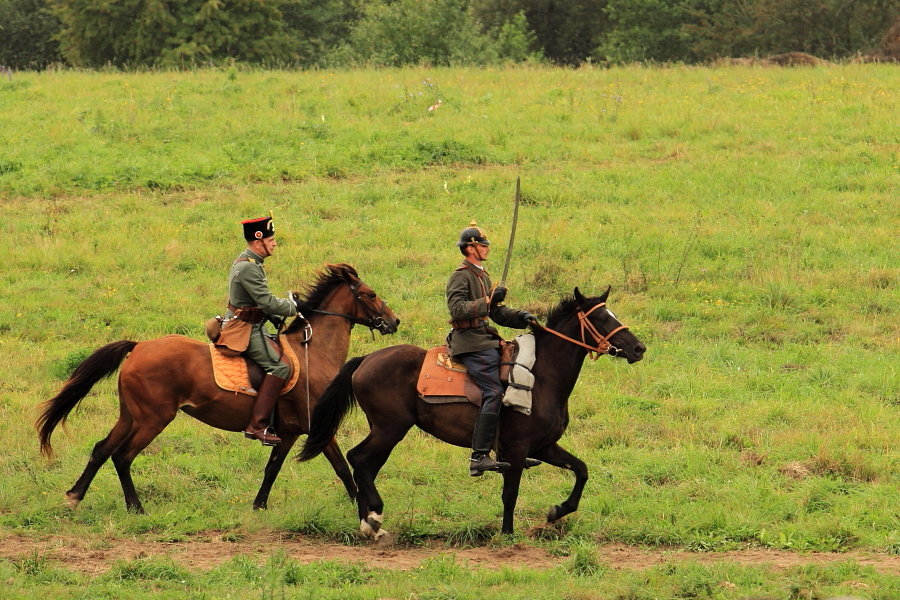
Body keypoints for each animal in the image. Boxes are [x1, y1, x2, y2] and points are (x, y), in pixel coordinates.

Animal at [37, 264, 398, 512]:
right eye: (370, 294)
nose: (394, 322)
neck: (314, 352)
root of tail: (138, 347)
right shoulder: (309, 427)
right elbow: (335, 467)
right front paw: (360, 504)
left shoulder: (294, 431)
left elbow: (278, 467)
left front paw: (258, 506)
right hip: (154, 418)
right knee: (123, 456)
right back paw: (136, 507)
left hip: (130, 415)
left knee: (102, 449)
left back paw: (75, 496)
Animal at [302, 288, 648, 536]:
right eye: (602, 319)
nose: (638, 348)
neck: (541, 375)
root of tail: (366, 359)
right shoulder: (517, 449)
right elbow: (511, 493)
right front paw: (507, 534)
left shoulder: (544, 446)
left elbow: (581, 470)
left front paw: (557, 511)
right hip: (390, 429)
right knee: (359, 460)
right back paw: (372, 518)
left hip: (385, 430)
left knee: (364, 465)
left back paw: (369, 522)